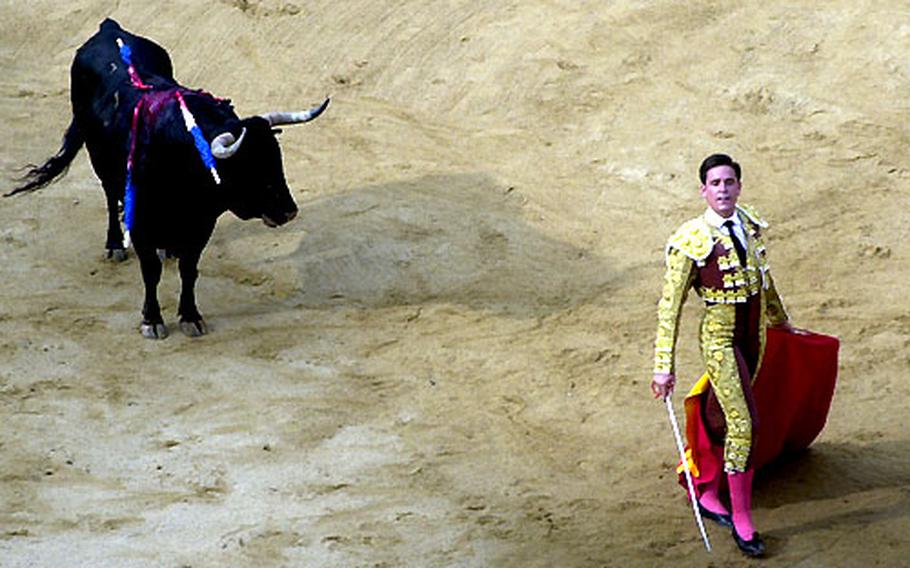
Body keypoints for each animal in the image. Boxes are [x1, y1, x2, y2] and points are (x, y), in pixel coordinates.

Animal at [6, 18, 328, 338]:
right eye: (246, 168)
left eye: (277, 160)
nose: (288, 211)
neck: (180, 157)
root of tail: (110, 28)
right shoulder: (140, 219)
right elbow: (150, 271)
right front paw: (152, 319)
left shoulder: (202, 222)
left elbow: (189, 268)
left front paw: (190, 315)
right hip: (101, 164)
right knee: (110, 197)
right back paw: (115, 245)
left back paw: (167, 248)